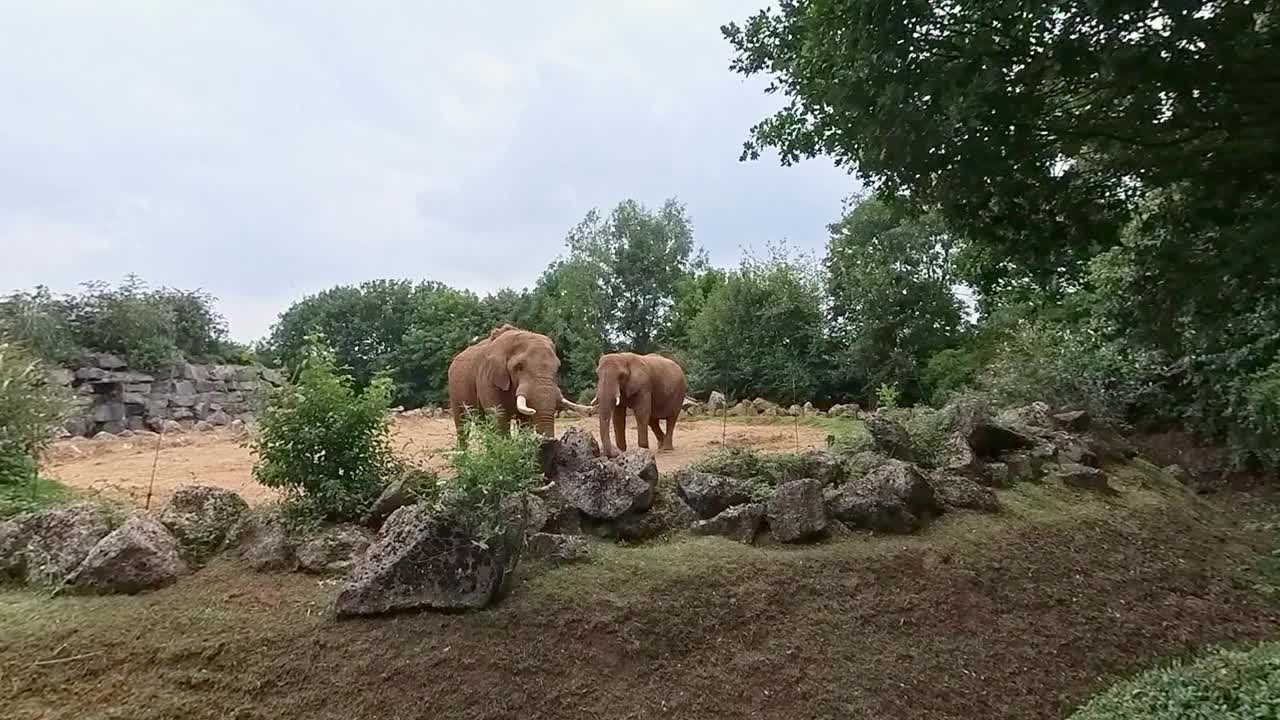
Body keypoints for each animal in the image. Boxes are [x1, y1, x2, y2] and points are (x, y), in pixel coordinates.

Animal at [448, 324, 591, 445]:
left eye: (557, 367)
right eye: (519, 366)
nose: (550, 441)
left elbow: (524, 420)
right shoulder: (487, 378)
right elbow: (499, 417)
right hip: (454, 391)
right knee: (462, 424)